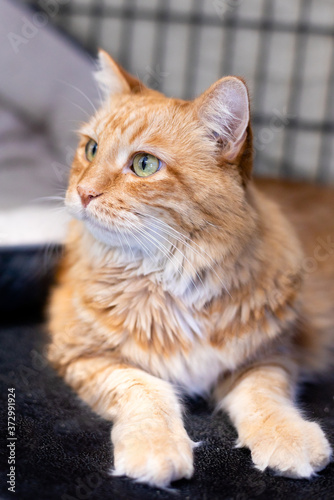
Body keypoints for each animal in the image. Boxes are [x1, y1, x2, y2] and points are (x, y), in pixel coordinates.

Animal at [47, 50, 334, 488]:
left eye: (144, 164)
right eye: (91, 149)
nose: (83, 192)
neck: (172, 278)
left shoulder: (269, 356)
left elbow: (263, 395)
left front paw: (288, 436)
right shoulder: (83, 354)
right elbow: (144, 389)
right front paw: (156, 447)